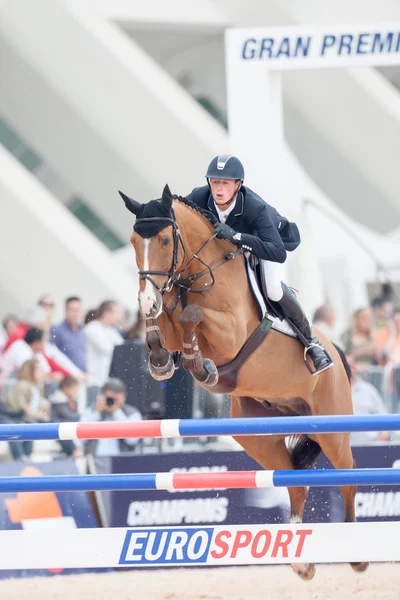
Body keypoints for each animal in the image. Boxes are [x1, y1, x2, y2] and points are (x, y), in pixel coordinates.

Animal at [121, 184, 368, 580]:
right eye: (132, 241)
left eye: (164, 239)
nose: (146, 298)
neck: (195, 274)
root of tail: (338, 355)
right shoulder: (168, 312)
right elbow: (163, 325)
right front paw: (163, 361)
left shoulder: (230, 332)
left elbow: (192, 315)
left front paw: (202, 366)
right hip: (256, 434)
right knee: (292, 481)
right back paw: (301, 561)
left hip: (331, 427)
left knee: (348, 475)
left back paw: (357, 556)